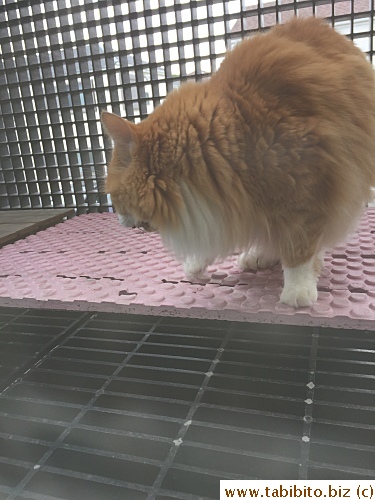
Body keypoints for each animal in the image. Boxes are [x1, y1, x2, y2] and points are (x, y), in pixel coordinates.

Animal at [102, 17, 375, 306]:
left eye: (114, 197)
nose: (118, 218)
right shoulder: (226, 206)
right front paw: (197, 264)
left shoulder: (308, 195)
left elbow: (299, 251)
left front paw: (297, 291)